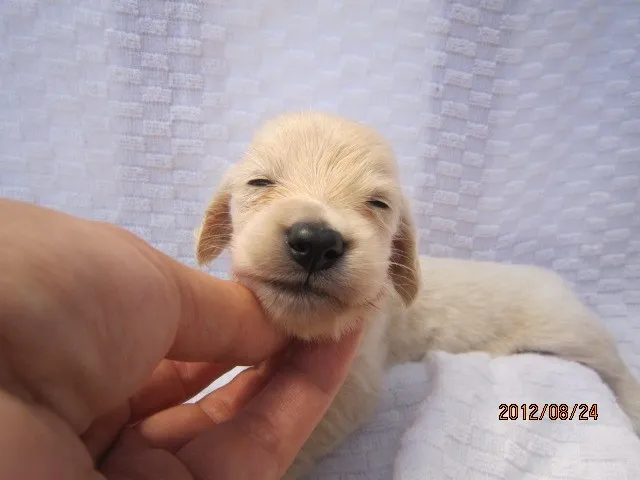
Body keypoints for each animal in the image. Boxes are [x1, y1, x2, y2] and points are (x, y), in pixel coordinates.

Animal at [195, 111, 640, 476]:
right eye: (259, 182)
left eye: (378, 203)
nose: (317, 242)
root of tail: (557, 280)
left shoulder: (354, 383)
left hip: (574, 332)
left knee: (618, 370)